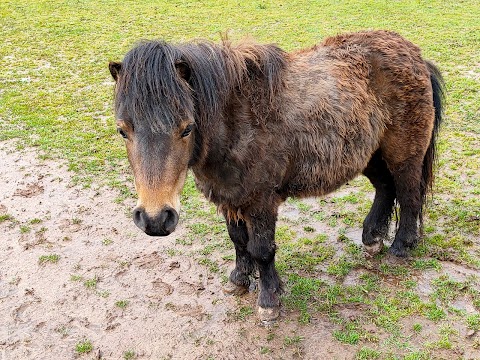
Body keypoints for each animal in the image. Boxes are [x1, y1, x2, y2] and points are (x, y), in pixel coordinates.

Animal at [108, 31, 442, 322]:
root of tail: (415, 55)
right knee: (385, 188)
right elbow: (238, 241)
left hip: (404, 154)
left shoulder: (261, 202)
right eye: (123, 130)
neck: (237, 123)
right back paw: (372, 238)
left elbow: (261, 249)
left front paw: (269, 301)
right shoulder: (229, 197)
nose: (154, 219)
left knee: (408, 194)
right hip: (369, 154)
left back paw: (401, 247)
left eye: (187, 128)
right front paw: (240, 279)